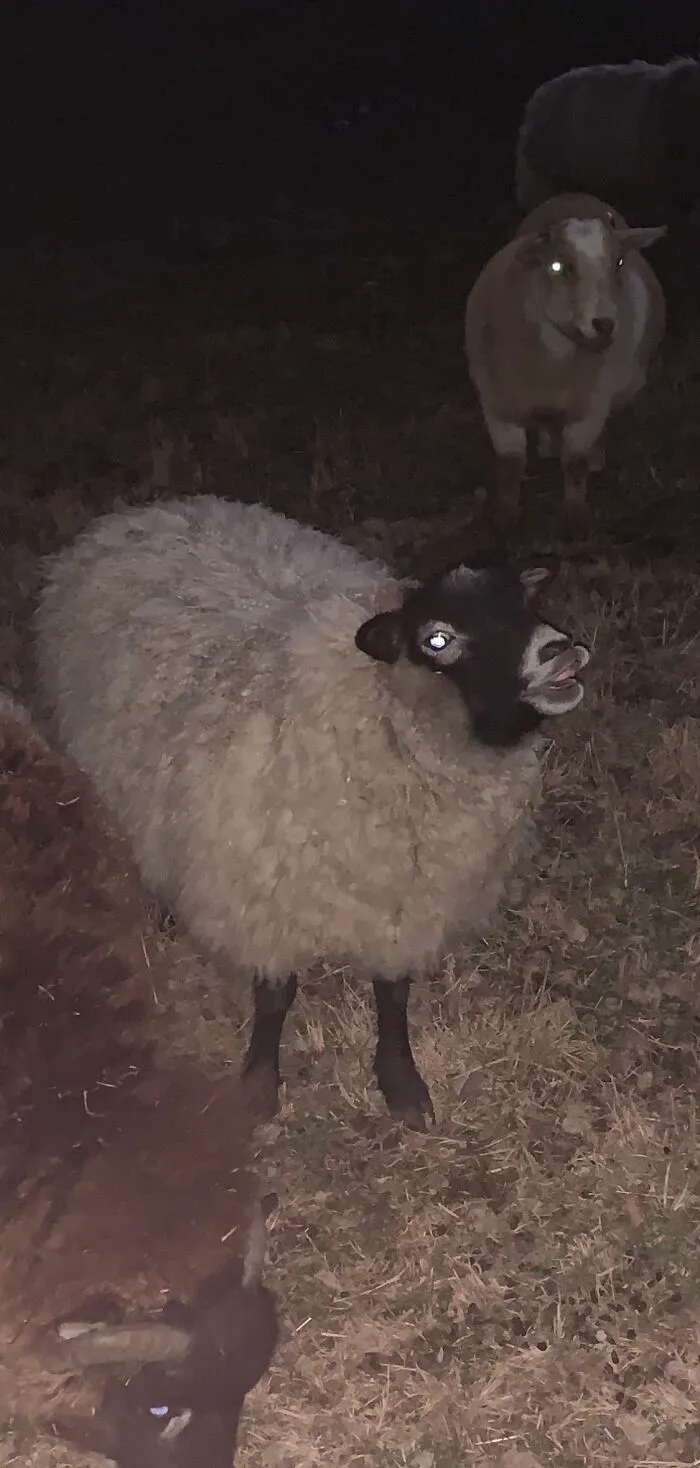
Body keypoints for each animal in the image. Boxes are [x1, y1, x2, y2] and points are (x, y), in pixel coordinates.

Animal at [34, 495, 590, 1132]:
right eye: (438, 640)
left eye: (525, 599)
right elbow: (276, 997)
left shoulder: (410, 899)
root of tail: (153, 509)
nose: (559, 650)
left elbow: (393, 993)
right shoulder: (266, 894)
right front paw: (258, 1085)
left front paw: (401, 1083)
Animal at [464, 199, 666, 532]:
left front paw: (573, 520)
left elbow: (575, 463)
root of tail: (576, 195)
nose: (604, 325)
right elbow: (509, 465)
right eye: (559, 266)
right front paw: (505, 519)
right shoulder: (498, 406)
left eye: (619, 262)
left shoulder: (591, 407)